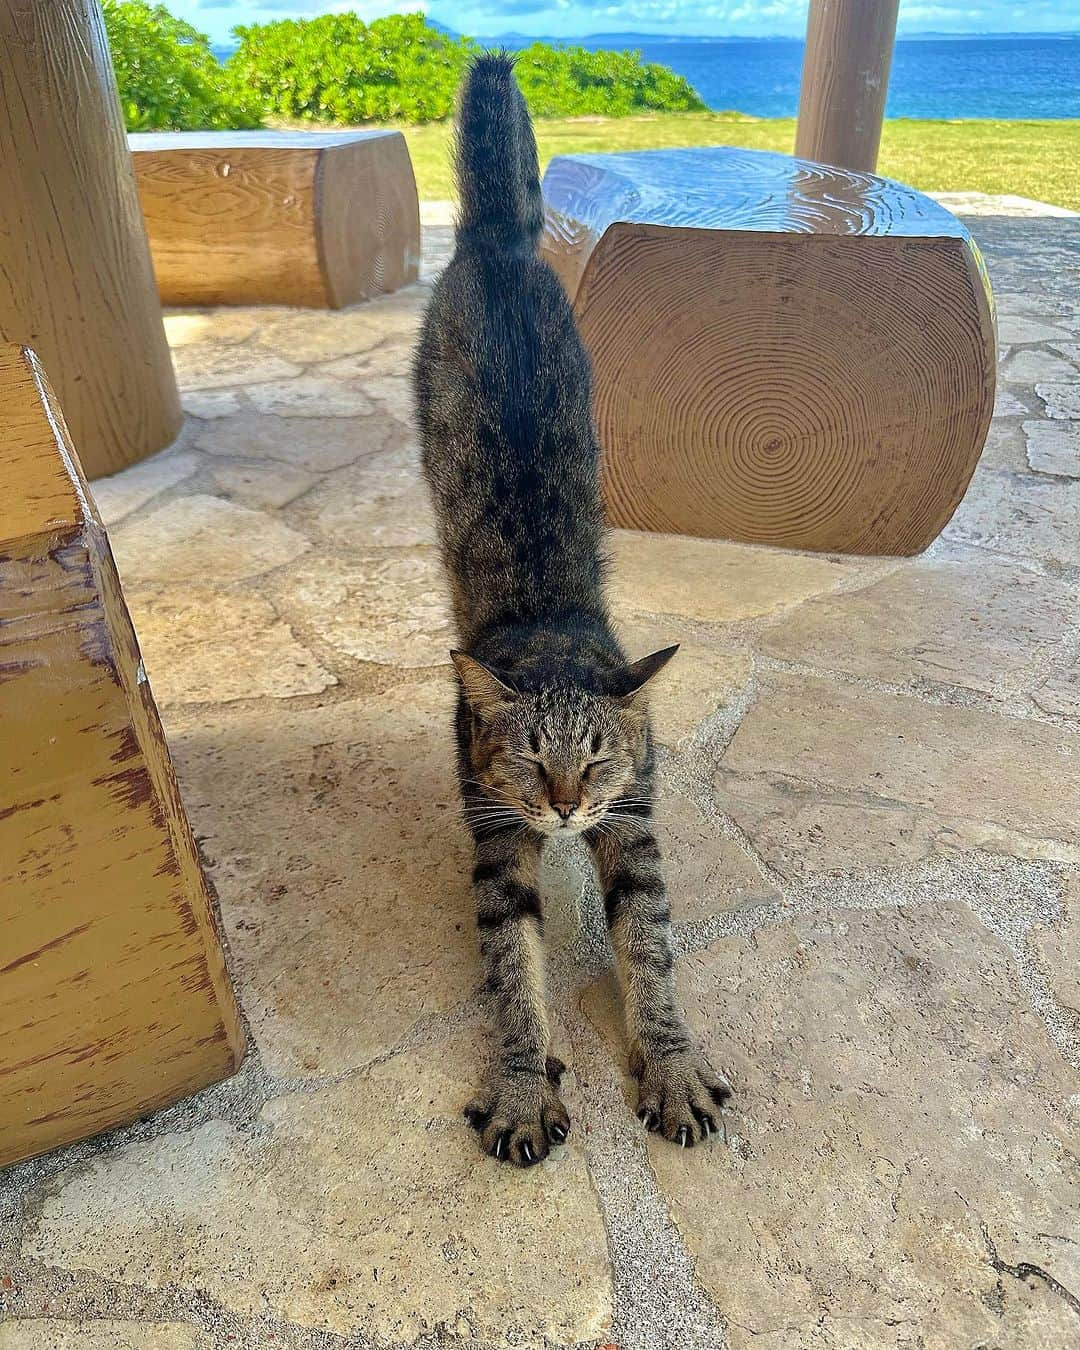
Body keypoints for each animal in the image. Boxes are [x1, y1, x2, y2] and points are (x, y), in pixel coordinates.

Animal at [410, 52, 723, 1166]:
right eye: (527, 759)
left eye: (594, 761)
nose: (561, 807)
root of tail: (500, 240)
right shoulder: (495, 844)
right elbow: (512, 976)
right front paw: (516, 1085)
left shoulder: (633, 829)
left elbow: (654, 950)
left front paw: (670, 1062)